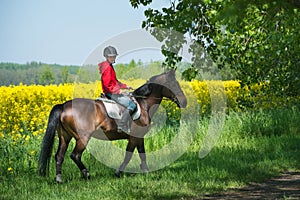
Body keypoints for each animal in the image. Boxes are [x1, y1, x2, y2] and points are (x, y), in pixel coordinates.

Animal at [38, 69, 186, 182]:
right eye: (173, 84)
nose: (184, 102)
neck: (143, 104)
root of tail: (64, 106)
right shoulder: (133, 138)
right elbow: (128, 155)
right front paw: (119, 172)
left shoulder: (139, 137)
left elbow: (142, 154)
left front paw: (145, 171)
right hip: (83, 138)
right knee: (75, 155)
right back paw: (87, 174)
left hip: (65, 137)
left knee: (59, 156)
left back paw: (59, 178)